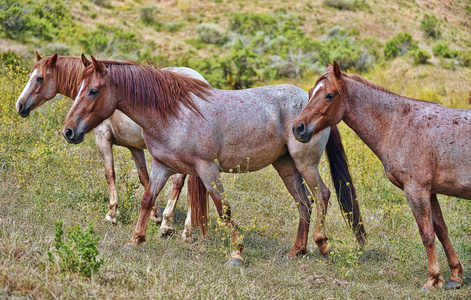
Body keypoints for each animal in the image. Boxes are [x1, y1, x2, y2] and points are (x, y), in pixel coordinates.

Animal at [14, 52, 208, 239]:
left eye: (39, 78)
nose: (20, 106)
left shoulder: (103, 139)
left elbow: (110, 174)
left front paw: (112, 213)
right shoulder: (135, 148)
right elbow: (145, 179)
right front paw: (154, 214)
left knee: (178, 182)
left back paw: (169, 225)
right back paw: (185, 230)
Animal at [60, 55, 366, 264]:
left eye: (93, 91)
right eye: (79, 88)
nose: (69, 131)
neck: (174, 113)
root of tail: (311, 101)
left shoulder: (207, 169)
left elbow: (224, 209)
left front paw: (236, 253)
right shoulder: (162, 166)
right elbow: (147, 199)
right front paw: (135, 240)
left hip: (305, 163)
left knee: (322, 195)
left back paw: (321, 244)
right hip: (285, 165)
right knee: (304, 202)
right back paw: (297, 250)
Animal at [294, 60, 470, 290]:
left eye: (329, 95)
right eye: (311, 93)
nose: (298, 128)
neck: (401, 125)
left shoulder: (416, 190)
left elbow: (427, 234)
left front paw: (433, 279)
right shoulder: (429, 192)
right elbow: (441, 230)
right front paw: (455, 276)